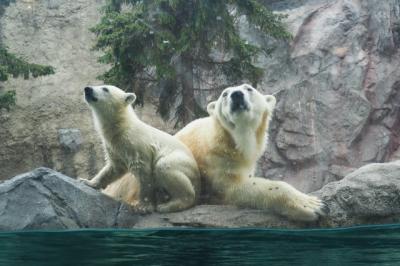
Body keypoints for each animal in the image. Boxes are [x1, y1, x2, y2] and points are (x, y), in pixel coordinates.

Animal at [81, 84, 200, 213]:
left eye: (105, 89)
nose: (87, 89)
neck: (123, 127)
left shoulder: (137, 144)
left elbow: (143, 172)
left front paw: (143, 206)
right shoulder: (114, 146)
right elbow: (114, 168)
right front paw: (87, 181)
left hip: (184, 165)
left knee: (164, 166)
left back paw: (168, 205)